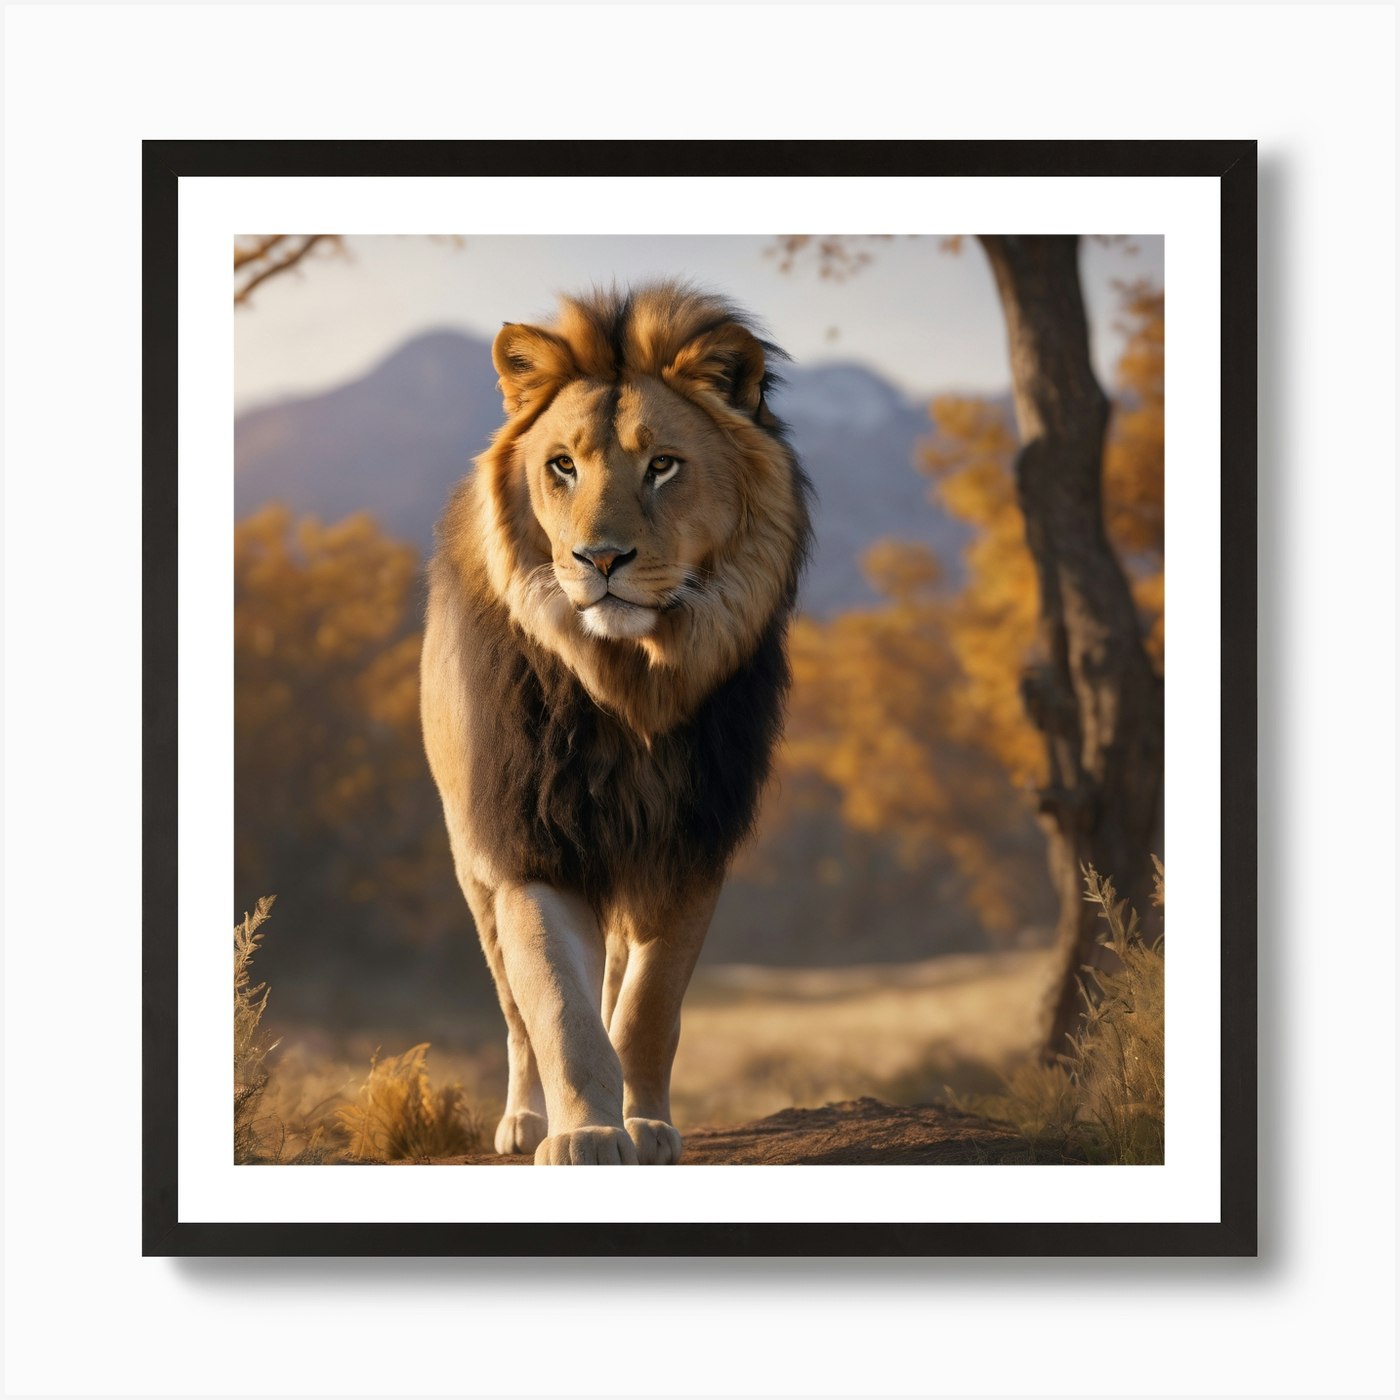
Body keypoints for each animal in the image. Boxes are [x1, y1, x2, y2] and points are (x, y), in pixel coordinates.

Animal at [421, 283, 812, 1165]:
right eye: (561, 466)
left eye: (662, 465)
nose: (599, 560)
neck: (629, 685)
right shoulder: (530, 845)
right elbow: (558, 1012)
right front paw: (587, 1134)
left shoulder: (689, 844)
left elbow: (646, 1008)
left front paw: (644, 1124)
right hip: (471, 865)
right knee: (514, 1014)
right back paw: (524, 1120)